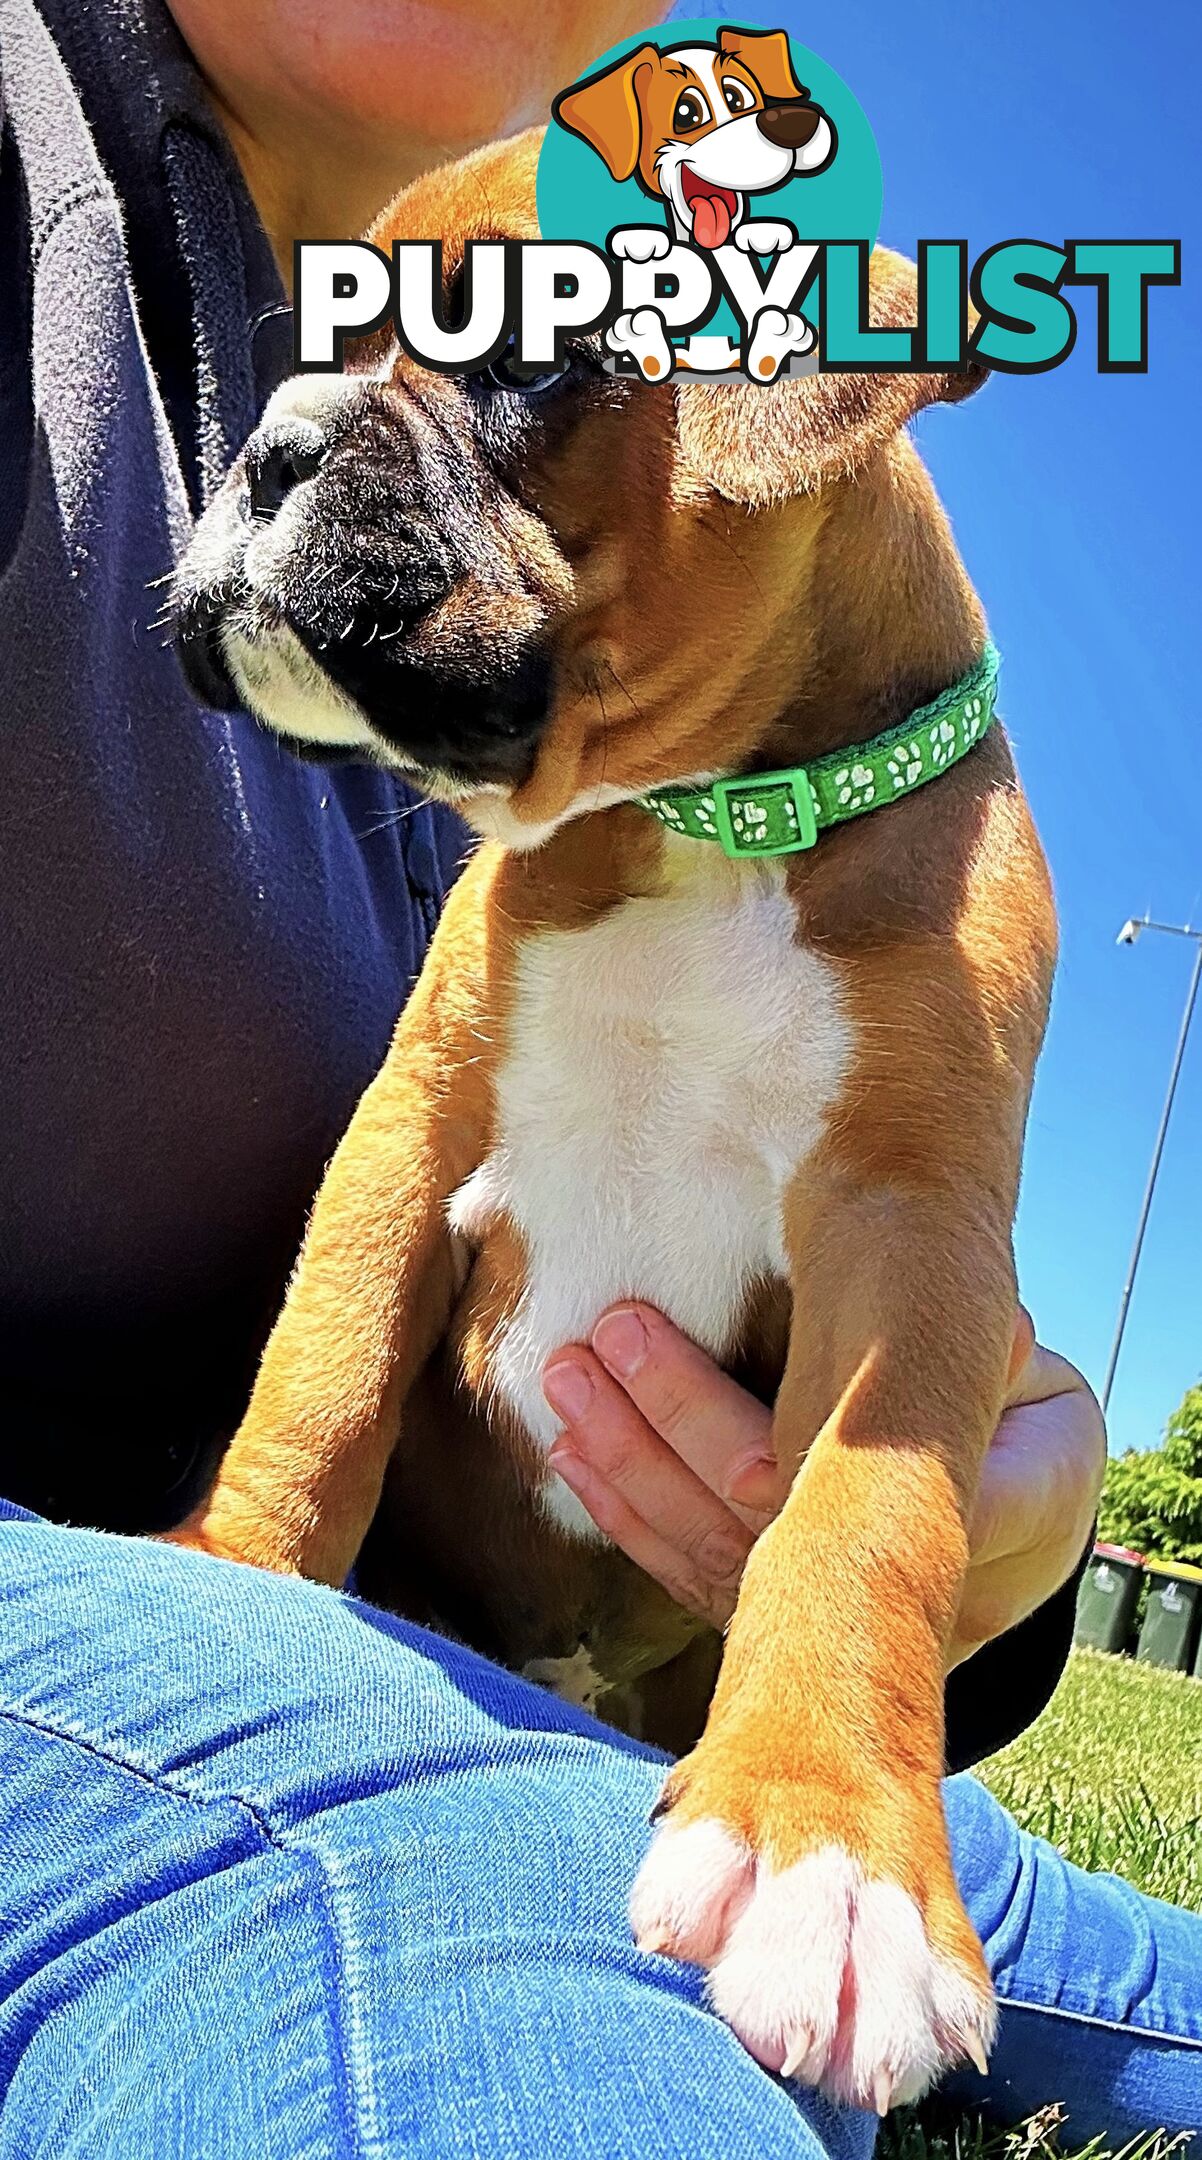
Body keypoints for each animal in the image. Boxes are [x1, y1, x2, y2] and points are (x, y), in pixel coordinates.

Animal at [174, 126, 1054, 2116]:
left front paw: (830, 1856)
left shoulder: (913, 1239)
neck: (698, 822)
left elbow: (859, 1521)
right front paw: (223, 1584)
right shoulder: (408, 1142)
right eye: (304, 340)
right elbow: (317, 1388)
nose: (265, 448)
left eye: (514, 351)